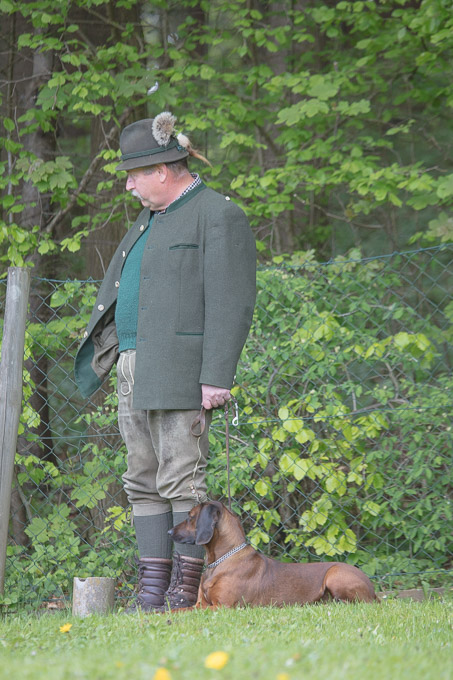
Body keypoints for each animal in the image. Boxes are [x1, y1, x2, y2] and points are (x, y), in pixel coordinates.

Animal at [169, 500, 379, 608]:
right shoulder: (200, 604)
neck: (220, 561)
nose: (169, 532)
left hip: (335, 574)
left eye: (190, 517)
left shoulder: (222, 606)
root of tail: (373, 590)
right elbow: (174, 611)